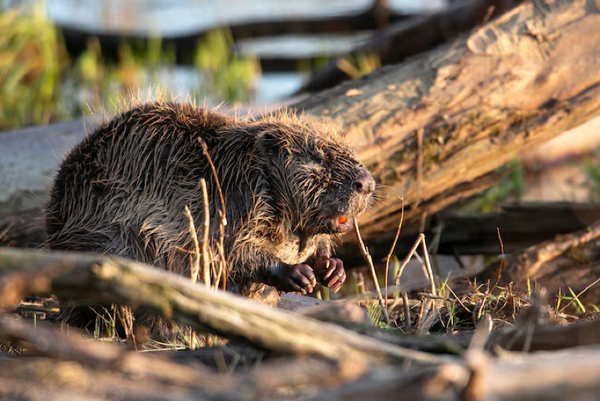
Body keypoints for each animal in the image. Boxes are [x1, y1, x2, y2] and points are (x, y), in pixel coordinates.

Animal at [45, 101, 376, 338]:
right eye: (319, 157)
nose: (367, 183)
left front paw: (332, 270)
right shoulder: (230, 207)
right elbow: (232, 254)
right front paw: (298, 274)